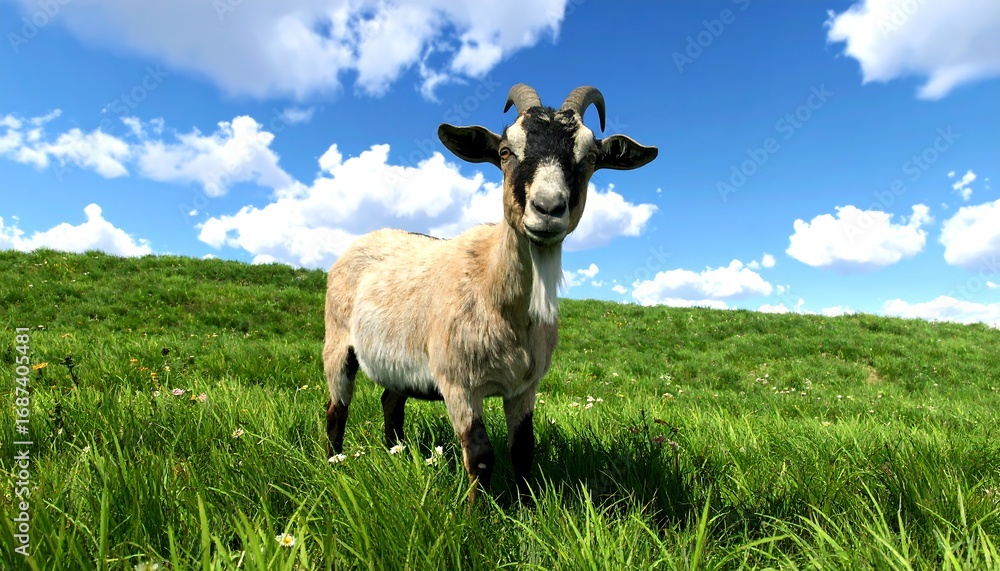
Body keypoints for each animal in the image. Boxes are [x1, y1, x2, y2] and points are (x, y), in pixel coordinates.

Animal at [323, 84, 657, 500]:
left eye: (591, 157)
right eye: (505, 152)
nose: (548, 208)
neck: (495, 292)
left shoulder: (524, 387)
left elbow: (523, 448)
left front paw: (528, 507)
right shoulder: (458, 382)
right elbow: (481, 455)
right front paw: (477, 513)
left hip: (401, 362)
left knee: (391, 401)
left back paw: (394, 453)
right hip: (337, 344)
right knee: (336, 410)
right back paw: (332, 463)